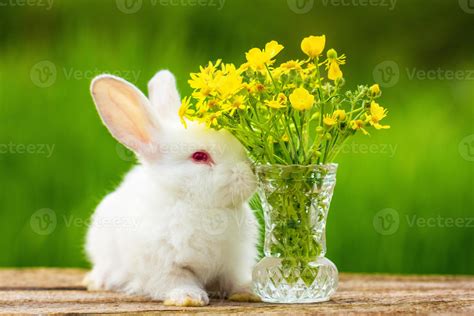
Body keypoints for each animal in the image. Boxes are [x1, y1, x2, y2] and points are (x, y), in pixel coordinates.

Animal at [84, 71, 260, 306]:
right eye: (199, 156)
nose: (251, 172)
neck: (196, 204)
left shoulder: (233, 262)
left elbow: (234, 279)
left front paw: (248, 292)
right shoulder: (163, 265)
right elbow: (177, 280)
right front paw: (188, 298)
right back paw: (97, 282)